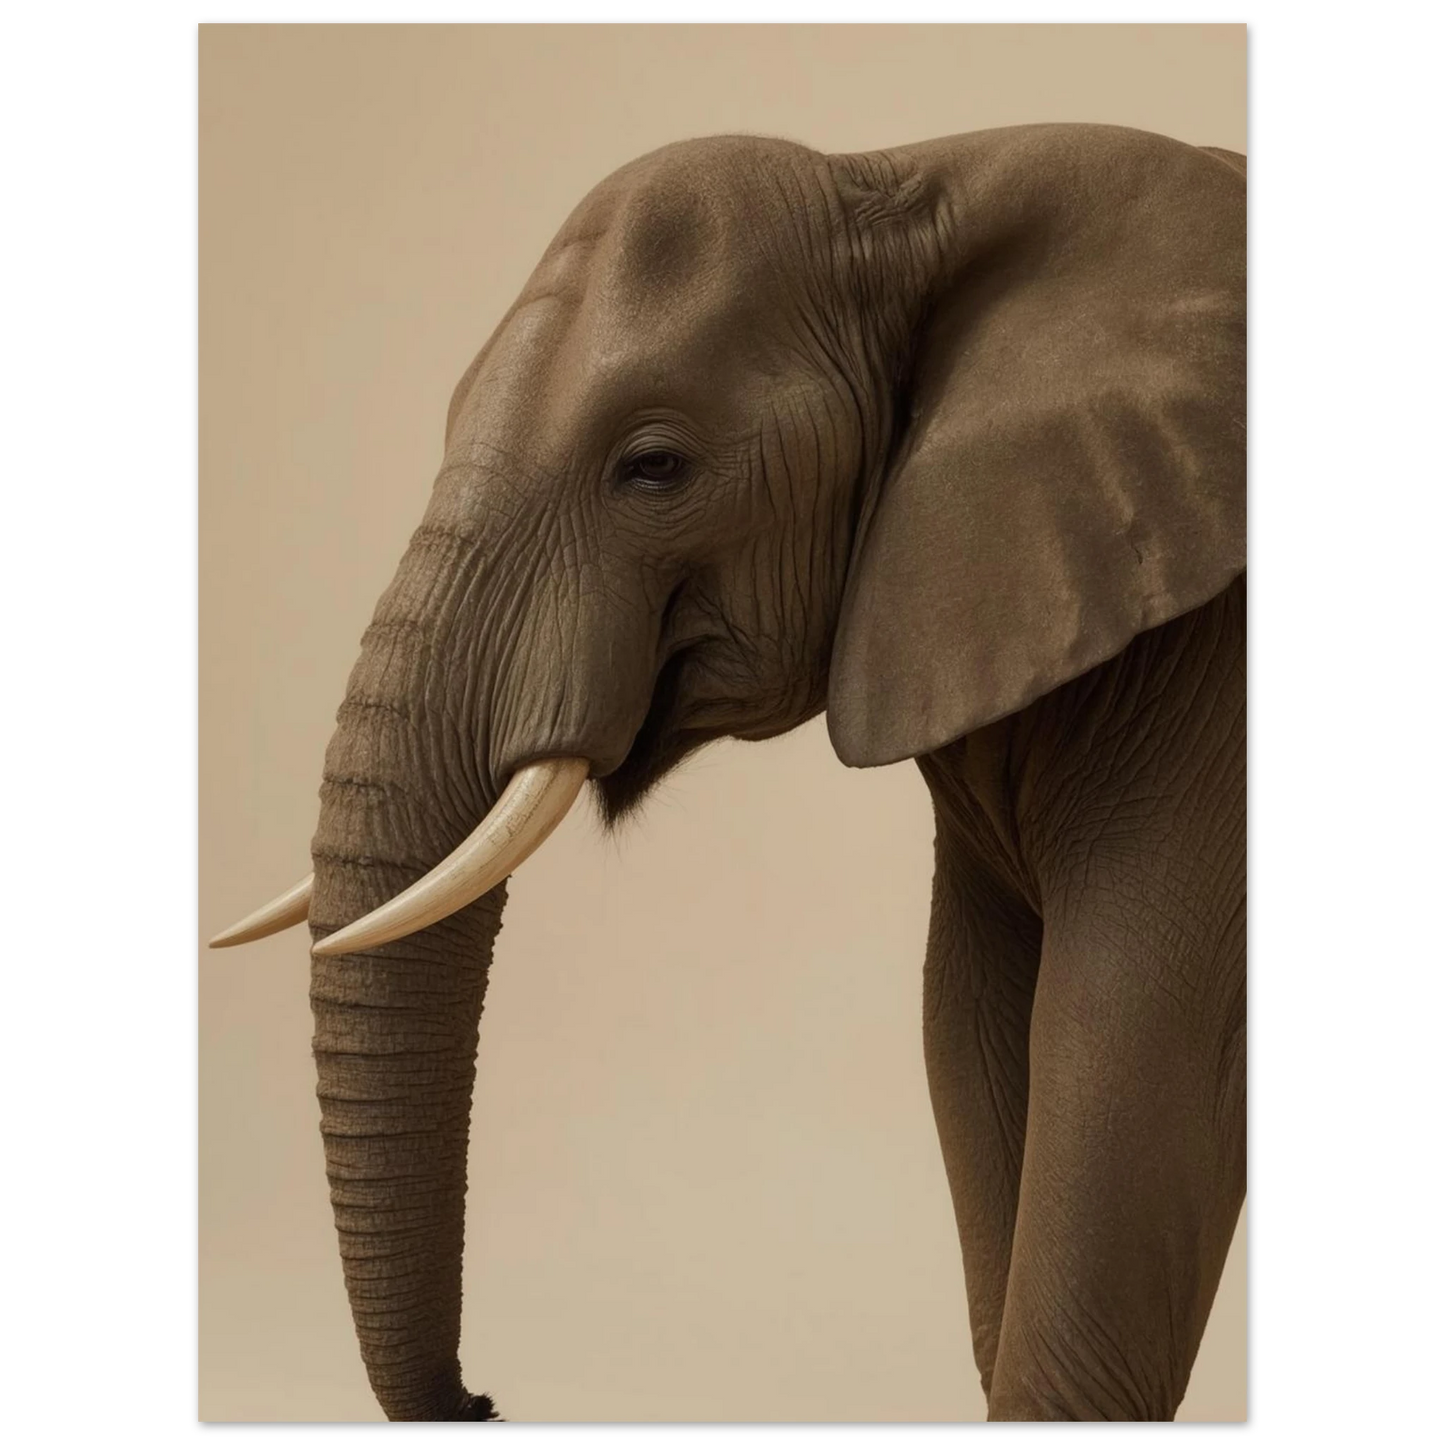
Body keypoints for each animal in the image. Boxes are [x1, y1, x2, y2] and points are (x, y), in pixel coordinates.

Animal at [210, 121, 1248, 1423]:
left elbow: (1127, 1059)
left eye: (654, 467)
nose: (484, 1399)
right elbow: (969, 1036)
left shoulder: (1208, 701)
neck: (915, 174)